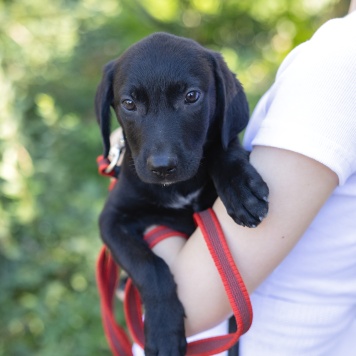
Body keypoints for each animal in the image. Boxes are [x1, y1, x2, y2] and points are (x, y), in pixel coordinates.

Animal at [96, 32, 268, 354]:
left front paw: (241, 188)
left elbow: (224, 145)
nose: (162, 167)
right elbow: (149, 267)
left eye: (191, 97)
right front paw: (163, 330)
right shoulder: (111, 220)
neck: (178, 189)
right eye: (129, 103)